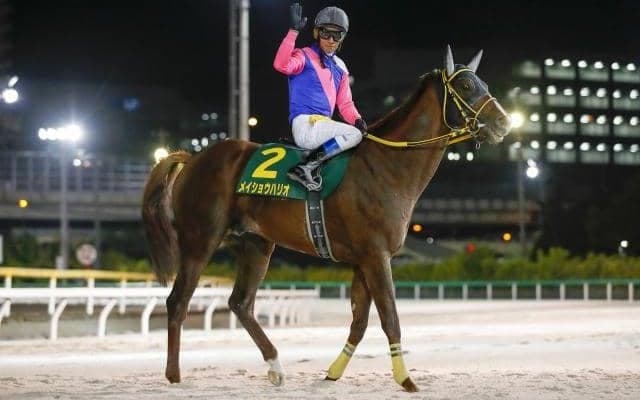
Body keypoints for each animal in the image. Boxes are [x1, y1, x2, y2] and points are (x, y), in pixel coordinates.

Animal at [141, 45, 511, 392]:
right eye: (466, 85)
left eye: (483, 83)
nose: (504, 122)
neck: (386, 164)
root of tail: (193, 158)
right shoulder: (377, 256)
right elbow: (389, 318)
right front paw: (406, 379)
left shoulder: (364, 259)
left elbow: (359, 322)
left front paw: (332, 373)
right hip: (200, 241)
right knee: (178, 301)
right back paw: (174, 375)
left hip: (256, 244)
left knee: (241, 303)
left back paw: (276, 366)